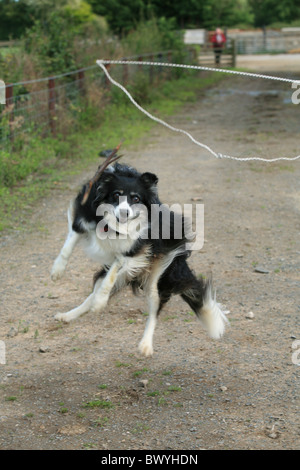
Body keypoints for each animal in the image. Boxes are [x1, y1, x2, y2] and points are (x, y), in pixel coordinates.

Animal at [51, 162, 227, 356]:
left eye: (136, 198)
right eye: (116, 195)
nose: (124, 213)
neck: (112, 226)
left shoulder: (130, 252)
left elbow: (111, 275)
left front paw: (100, 302)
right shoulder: (83, 217)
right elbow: (68, 246)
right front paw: (57, 270)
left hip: (157, 277)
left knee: (154, 309)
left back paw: (145, 344)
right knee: (93, 292)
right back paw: (69, 315)